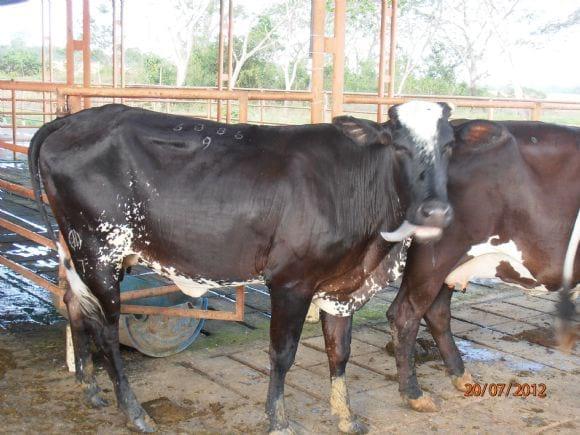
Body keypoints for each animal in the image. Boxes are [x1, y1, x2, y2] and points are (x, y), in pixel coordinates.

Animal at [29, 101, 456, 432]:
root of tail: (74, 119)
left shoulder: (341, 286)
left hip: (79, 252)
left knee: (73, 305)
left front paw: (346, 417)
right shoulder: (291, 282)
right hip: (100, 252)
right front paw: (278, 420)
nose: (435, 211)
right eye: (398, 146)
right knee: (104, 327)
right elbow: (283, 353)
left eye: (449, 146)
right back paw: (133, 412)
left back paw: (89, 388)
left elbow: (339, 351)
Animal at [388, 119, 576, 412]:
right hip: (436, 256)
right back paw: (414, 394)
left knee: (437, 312)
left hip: (451, 262)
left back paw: (461, 376)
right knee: (405, 314)